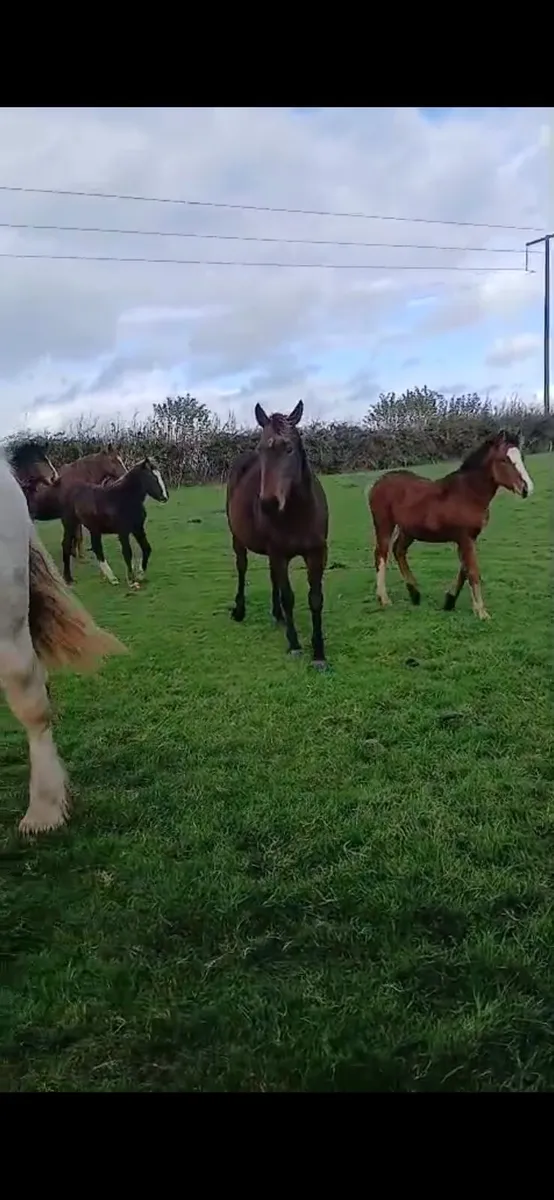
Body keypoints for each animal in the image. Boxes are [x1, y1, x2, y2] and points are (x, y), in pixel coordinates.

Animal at [60, 457, 169, 590]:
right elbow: (127, 553)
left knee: (97, 548)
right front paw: (132, 581)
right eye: (151, 476)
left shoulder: (138, 529)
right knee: (66, 545)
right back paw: (68, 579)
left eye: (159, 475)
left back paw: (112, 578)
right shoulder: (123, 532)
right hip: (70, 524)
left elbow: (147, 548)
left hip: (93, 528)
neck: (125, 498)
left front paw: (140, 575)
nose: (164, 497)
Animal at [226, 400, 330, 668]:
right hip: (238, 539)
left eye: (289, 448)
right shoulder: (279, 553)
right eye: (261, 449)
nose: (268, 504)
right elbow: (288, 597)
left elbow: (315, 598)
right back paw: (240, 610)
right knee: (242, 568)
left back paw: (278, 616)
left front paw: (319, 653)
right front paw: (294, 645)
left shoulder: (316, 553)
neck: (299, 513)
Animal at [368, 430, 535, 620]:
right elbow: (473, 571)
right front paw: (482, 612)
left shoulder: (469, 538)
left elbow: (464, 569)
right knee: (381, 554)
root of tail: (378, 482)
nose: (527, 489)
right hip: (384, 524)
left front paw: (450, 601)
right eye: (504, 460)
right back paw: (384, 598)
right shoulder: (465, 538)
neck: (468, 494)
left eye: (521, 457)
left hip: (408, 530)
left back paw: (414, 593)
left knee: (398, 550)